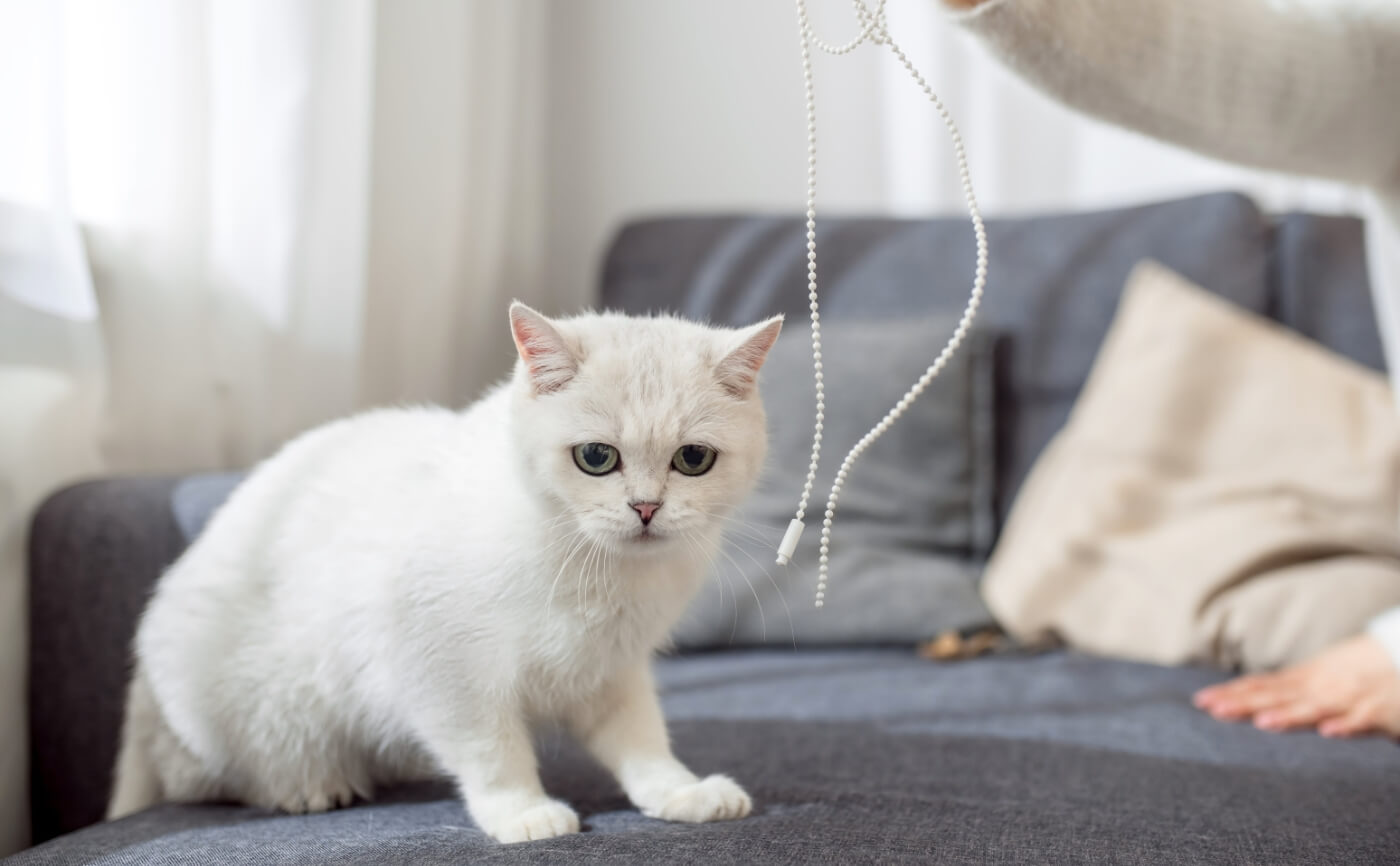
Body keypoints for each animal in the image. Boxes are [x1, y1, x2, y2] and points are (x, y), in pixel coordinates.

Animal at [109, 302, 784, 845]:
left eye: (693, 459)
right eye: (596, 457)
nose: (646, 508)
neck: (595, 565)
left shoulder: (610, 668)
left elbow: (642, 741)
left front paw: (680, 791)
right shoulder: (443, 667)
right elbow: (492, 750)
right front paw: (523, 813)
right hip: (262, 713)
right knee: (199, 774)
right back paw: (312, 785)